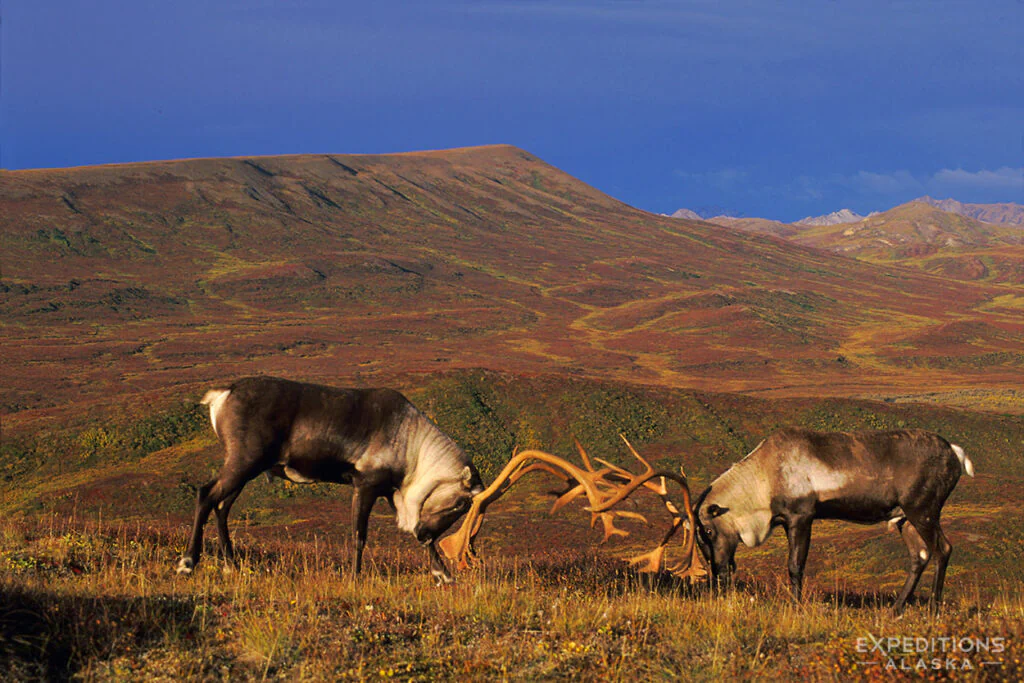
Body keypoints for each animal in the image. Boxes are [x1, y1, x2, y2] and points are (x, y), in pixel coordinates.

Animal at [176, 376, 484, 583]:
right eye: (461, 504)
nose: (425, 532)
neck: (414, 450)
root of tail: (222, 394)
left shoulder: (389, 492)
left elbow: (414, 537)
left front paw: (443, 575)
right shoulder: (365, 485)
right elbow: (359, 535)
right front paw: (355, 578)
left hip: (245, 468)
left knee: (222, 507)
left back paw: (232, 565)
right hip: (243, 461)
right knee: (206, 494)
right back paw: (188, 562)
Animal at [693, 427, 974, 613]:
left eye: (707, 530)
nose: (718, 573)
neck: (764, 476)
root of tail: (955, 453)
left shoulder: (801, 517)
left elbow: (795, 565)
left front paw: (796, 608)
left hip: (923, 510)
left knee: (943, 549)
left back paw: (934, 609)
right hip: (905, 518)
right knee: (920, 555)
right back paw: (895, 609)